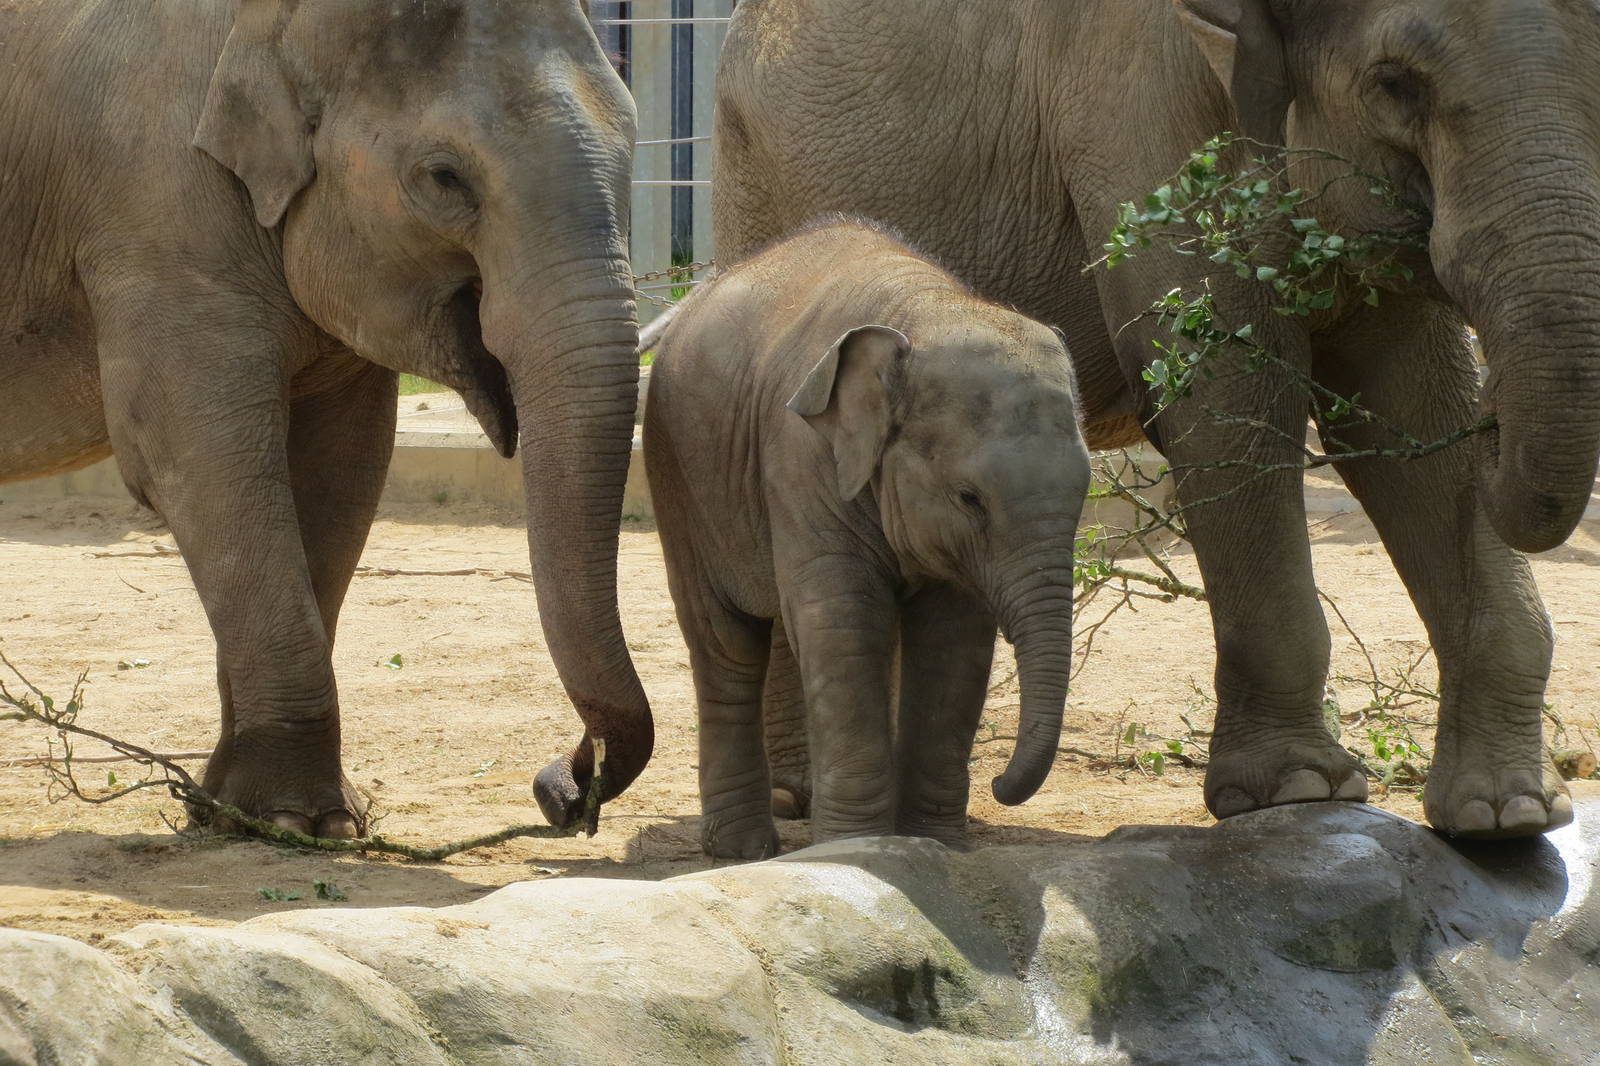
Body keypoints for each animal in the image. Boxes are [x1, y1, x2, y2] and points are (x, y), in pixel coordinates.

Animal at [0, 0, 652, 836]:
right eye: (444, 178)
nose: (564, 790)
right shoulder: (155, 212)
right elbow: (193, 456)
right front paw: (295, 823)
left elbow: (344, 464)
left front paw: (245, 812)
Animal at [645, 220, 1090, 858]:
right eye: (969, 498)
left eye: (1086, 489)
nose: (1002, 787)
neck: (925, 309)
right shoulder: (800, 456)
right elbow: (842, 621)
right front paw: (852, 852)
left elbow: (955, 638)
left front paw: (936, 847)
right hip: (681, 483)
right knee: (725, 644)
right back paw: (743, 851)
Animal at [711, 0, 1600, 838]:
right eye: (1394, 82)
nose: (1496, 425)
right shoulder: (1137, 99)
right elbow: (1222, 381)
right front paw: (1298, 792)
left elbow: (1406, 404)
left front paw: (1510, 815)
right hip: (757, 186)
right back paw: (800, 797)